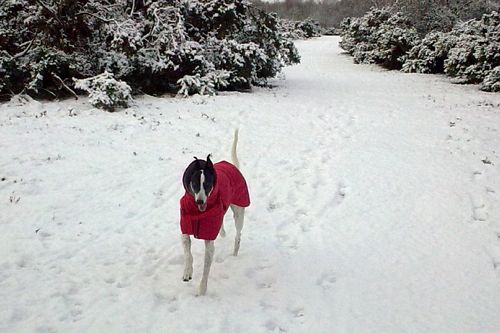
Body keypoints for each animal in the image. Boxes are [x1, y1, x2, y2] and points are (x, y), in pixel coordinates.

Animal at [180, 128, 250, 294]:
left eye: (207, 184)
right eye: (194, 184)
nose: (200, 201)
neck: (198, 212)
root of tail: (233, 165)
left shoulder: (209, 242)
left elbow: (206, 268)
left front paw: (202, 289)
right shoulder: (185, 228)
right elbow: (187, 252)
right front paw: (187, 272)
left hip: (239, 212)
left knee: (238, 234)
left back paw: (235, 252)